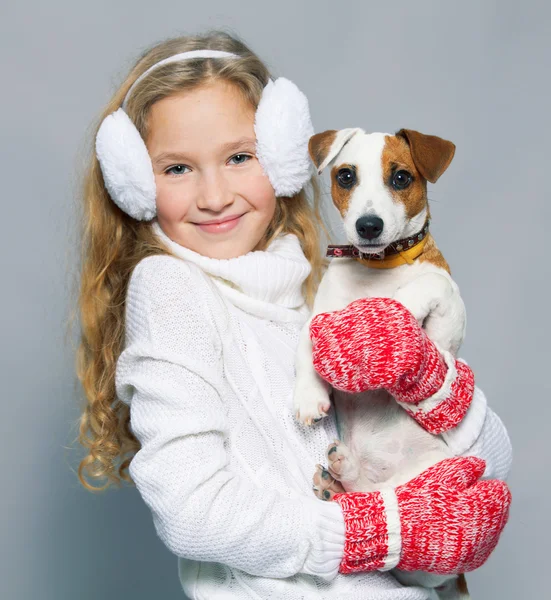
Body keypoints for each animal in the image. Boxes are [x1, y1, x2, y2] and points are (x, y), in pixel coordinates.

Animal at [296, 129, 472, 596]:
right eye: (345, 176)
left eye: (400, 177)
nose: (368, 226)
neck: (377, 270)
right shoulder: (320, 314)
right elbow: (307, 346)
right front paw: (307, 397)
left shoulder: (448, 320)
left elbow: (425, 289)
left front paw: (384, 319)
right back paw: (338, 478)